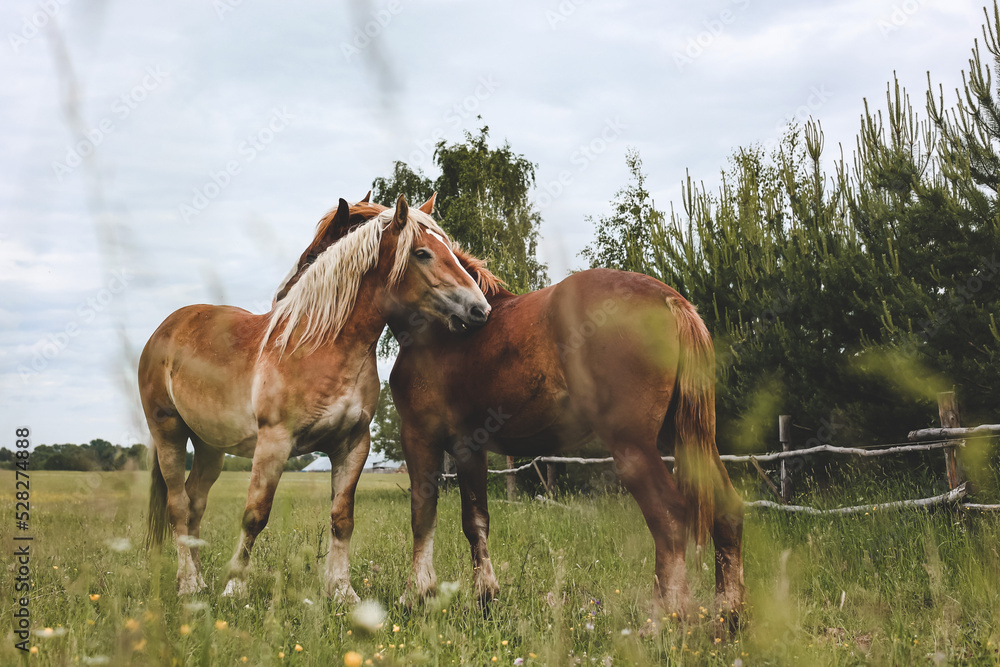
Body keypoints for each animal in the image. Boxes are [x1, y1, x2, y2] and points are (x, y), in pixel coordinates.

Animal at [139, 194, 490, 599]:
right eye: (422, 253)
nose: (480, 309)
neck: (321, 346)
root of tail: (169, 326)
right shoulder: (274, 444)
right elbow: (255, 514)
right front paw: (235, 588)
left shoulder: (353, 445)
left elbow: (342, 518)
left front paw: (341, 590)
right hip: (169, 433)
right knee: (179, 506)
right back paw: (189, 584)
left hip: (210, 445)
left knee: (195, 502)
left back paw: (198, 582)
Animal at [387, 245, 746, 624]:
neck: (436, 331)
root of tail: (670, 300)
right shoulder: (470, 446)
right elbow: (476, 520)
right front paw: (484, 599)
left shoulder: (421, 437)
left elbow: (425, 516)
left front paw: (416, 596)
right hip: (684, 441)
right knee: (727, 511)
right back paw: (730, 615)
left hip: (635, 447)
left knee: (670, 515)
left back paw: (664, 621)